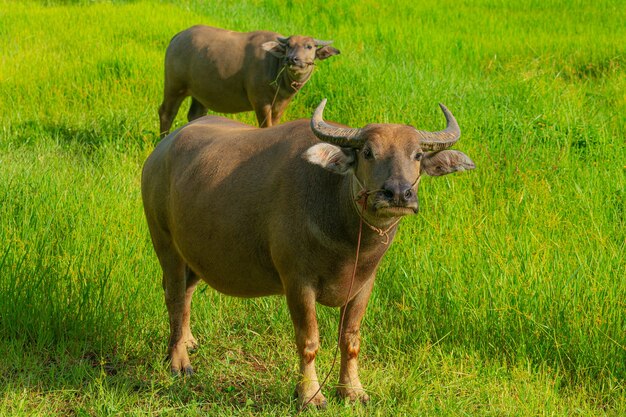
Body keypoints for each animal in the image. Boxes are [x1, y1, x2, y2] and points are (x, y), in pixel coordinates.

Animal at [141, 100, 472, 406]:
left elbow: (350, 339)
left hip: (194, 254)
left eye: (417, 155)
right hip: (165, 243)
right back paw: (179, 362)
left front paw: (353, 391)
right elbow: (308, 341)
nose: (399, 194)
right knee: (174, 297)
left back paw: (188, 341)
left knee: (186, 293)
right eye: (368, 152)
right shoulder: (297, 282)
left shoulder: (364, 284)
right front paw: (310, 394)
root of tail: (161, 151)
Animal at [158, 24, 338, 136]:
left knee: (196, 114)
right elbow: (265, 126)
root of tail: (178, 37)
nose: (292, 59)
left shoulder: (280, 106)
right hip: (175, 86)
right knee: (166, 113)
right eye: (289, 45)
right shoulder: (260, 102)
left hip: (200, 92)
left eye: (309, 46)